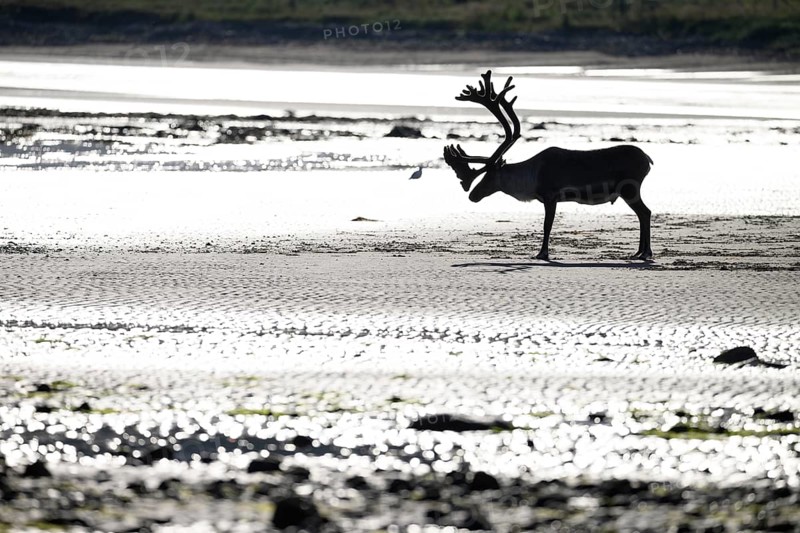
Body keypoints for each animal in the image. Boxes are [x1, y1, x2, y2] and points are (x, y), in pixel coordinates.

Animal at [444, 70, 654, 261]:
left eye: (489, 175)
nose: (472, 195)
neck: (531, 176)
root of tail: (648, 159)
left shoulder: (550, 196)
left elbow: (547, 225)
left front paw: (542, 253)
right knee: (642, 214)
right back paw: (638, 252)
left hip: (629, 189)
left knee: (645, 212)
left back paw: (646, 253)